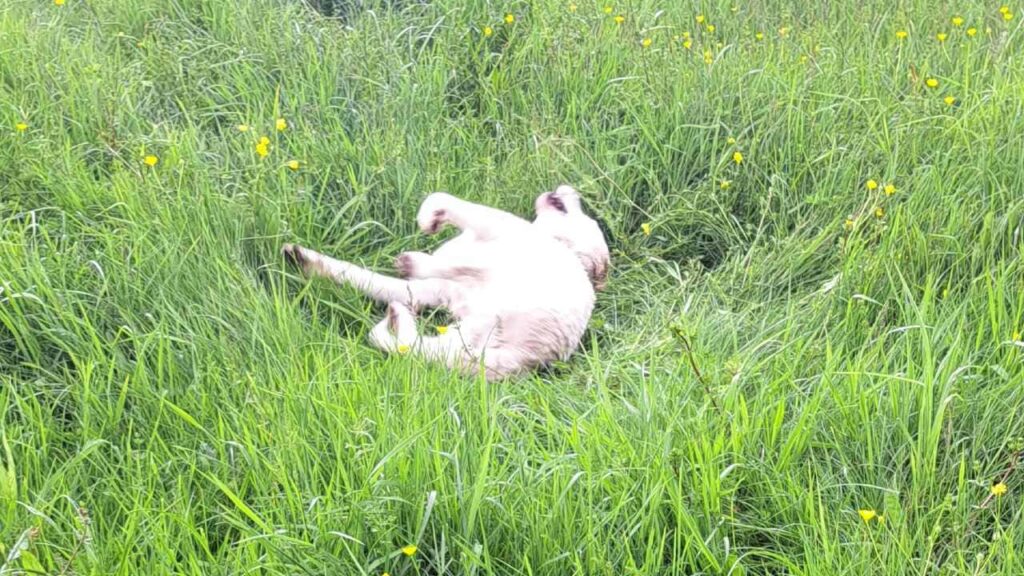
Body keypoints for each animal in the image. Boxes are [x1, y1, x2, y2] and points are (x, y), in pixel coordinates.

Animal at [282, 183, 606, 379]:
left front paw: (428, 224)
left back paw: (395, 316)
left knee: (411, 345)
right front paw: (410, 258)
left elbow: (438, 199)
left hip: (482, 327)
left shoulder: (497, 229)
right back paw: (301, 258)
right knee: (408, 336)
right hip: (465, 328)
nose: (570, 188)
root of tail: (526, 359)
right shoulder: (439, 286)